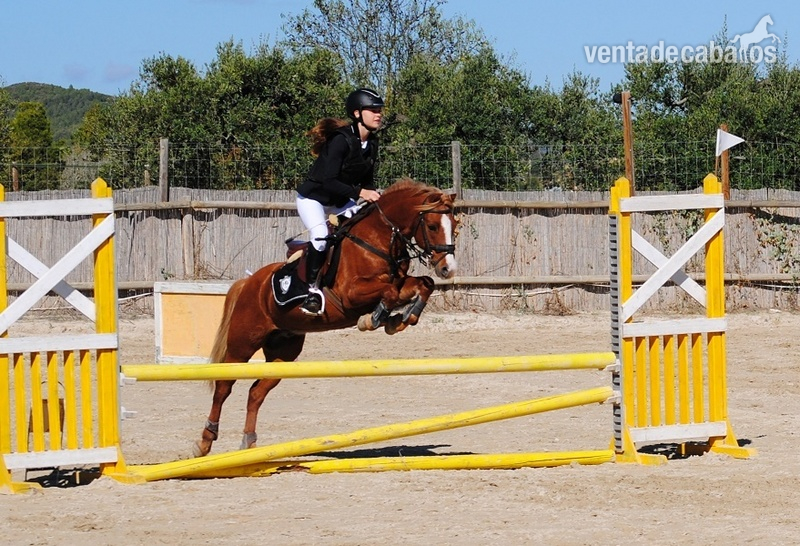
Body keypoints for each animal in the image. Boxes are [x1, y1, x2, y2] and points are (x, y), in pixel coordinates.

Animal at [193, 178, 459, 457]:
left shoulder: (401, 281)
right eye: (432, 226)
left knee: (256, 391)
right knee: (223, 386)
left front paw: (403, 318)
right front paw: (377, 318)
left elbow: (423, 284)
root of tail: (248, 282)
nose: (448, 269)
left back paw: (249, 443)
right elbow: (389, 292)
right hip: (242, 343)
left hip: (283, 352)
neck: (377, 239)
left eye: (455, 226)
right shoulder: (351, 294)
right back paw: (205, 441)